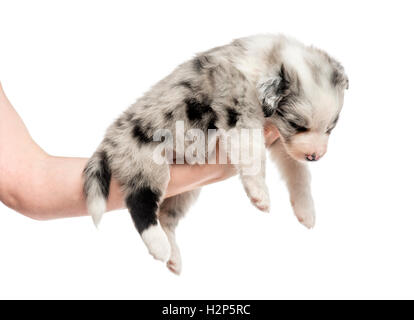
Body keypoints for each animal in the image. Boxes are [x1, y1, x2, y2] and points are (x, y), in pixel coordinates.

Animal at [82, 34, 348, 276]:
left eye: (330, 128)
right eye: (297, 124)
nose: (315, 156)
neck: (263, 62)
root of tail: (108, 142)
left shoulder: (280, 139)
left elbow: (298, 172)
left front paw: (306, 211)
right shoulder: (240, 112)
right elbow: (252, 154)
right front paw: (260, 195)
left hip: (184, 190)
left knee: (166, 216)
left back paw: (173, 255)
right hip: (145, 162)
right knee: (140, 202)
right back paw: (159, 246)